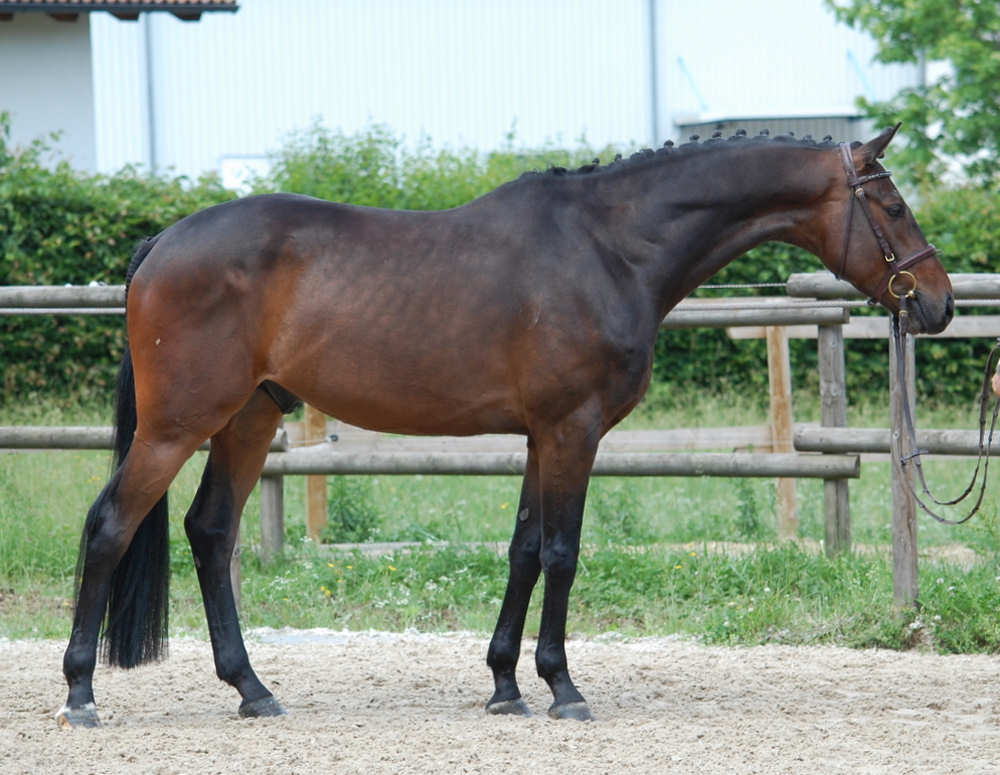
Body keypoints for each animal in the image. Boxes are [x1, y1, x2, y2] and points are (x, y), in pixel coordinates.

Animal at [57, 124, 953, 727]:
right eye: (894, 204)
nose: (939, 304)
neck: (609, 247)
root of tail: (164, 240)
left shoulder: (537, 435)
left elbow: (523, 548)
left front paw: (504, 684)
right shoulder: (573, 430)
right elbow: (561, 551)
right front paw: (562, 686)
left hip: (247, 418)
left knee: (210, 531)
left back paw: (253, 689)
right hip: (177, 424)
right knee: (108, 526)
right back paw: (81, 692)